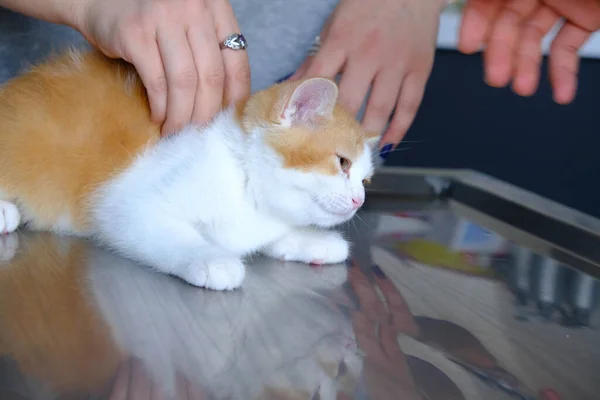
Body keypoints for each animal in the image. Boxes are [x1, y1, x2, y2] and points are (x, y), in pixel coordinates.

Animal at [0, 49, 378, 290]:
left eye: (365, 179)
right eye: (342, 163)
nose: (359, 200)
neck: (242, 178)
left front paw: (310, 240)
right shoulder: (123, 202)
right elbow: (164, 230)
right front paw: (211, 259)